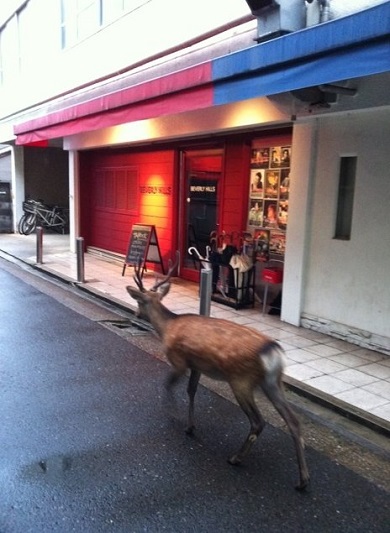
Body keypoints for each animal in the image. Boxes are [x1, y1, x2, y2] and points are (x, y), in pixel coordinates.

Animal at [126, 254, 310, 490]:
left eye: (139, 301)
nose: (135, 313)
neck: (167, 328)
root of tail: (273, 351)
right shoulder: (197, 365)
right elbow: (191, 391)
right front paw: (190, 426)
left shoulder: (179, 361)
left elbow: (168, 384)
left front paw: (173, 414)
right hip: (273, 382)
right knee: (293, 421)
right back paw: (303, 480)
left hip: (241, 380)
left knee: (258, 422)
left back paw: (236, 458)